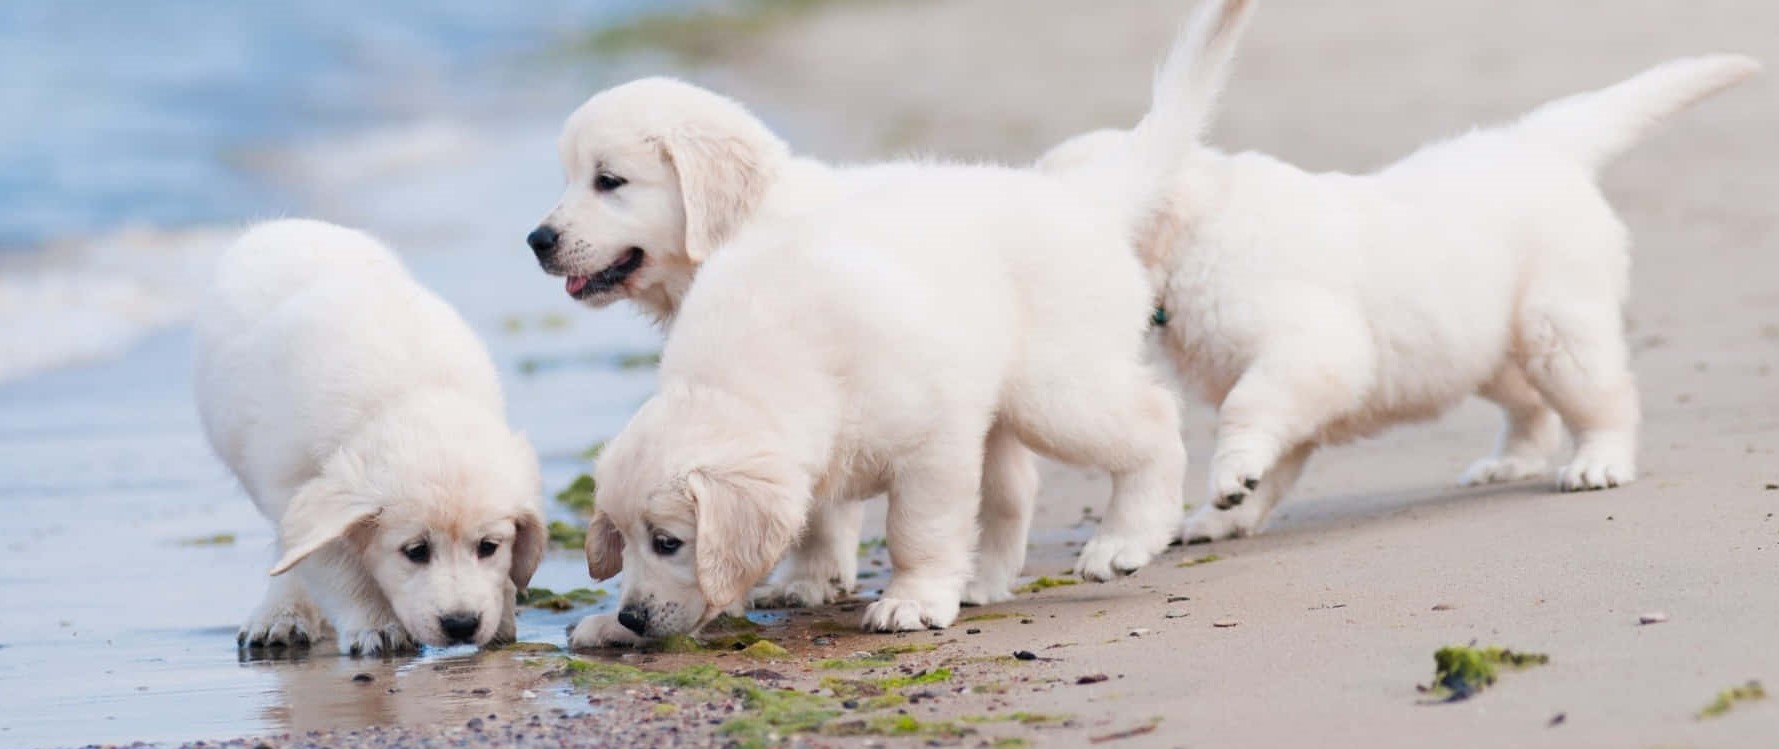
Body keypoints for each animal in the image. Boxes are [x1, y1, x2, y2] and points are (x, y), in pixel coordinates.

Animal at [194, 217, 540, 654]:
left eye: (489, 547)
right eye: (415, 551)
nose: (461, 623)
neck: (407, 395)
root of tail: (287, 225)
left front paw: (502, 614)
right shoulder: (297, 487)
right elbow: (333, 565)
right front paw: (376, 624)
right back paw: (282, 614)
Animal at [1038, 0, 1757, 540]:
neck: (1195, 230)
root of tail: (1538, 142)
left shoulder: (1311, 353)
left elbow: (1249, 408)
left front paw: (1229, 479)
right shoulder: (1300, 384)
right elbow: (1276, 451)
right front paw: (1225, 514)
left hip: (1557, 327)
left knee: (1603, 398)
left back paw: (1598, 462)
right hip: (1480, 346)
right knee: (1530, 406)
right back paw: (1509, 461)